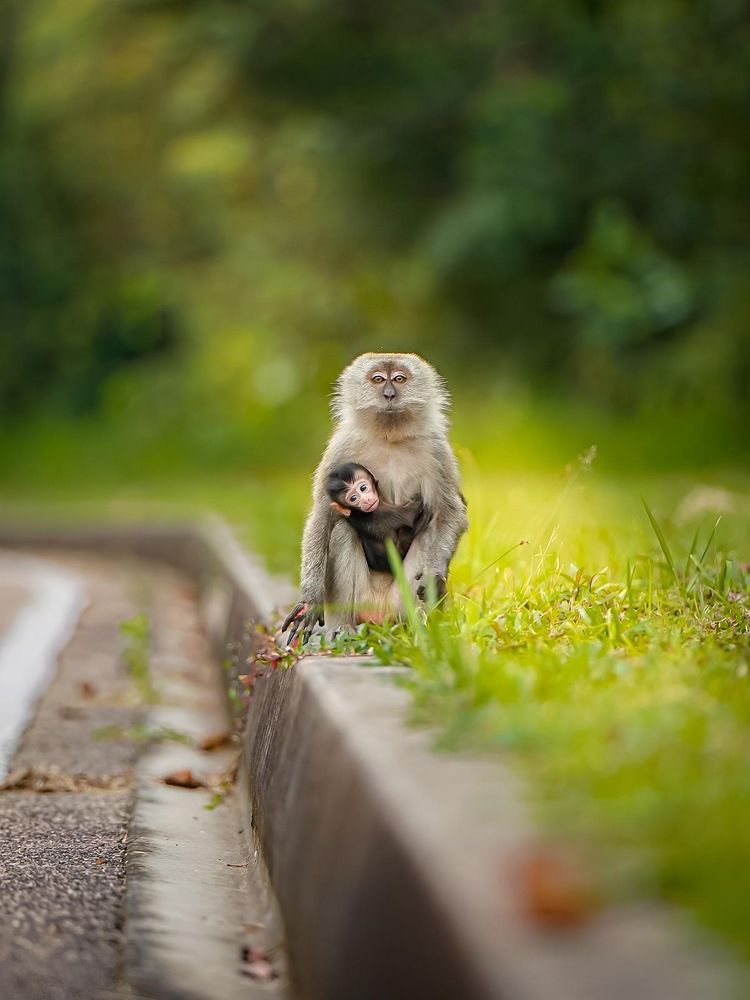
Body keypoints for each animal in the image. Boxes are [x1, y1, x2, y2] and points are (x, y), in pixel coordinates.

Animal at [282, 352, 468, 644]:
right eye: (378, 379)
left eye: (399, 379)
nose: (389, 394)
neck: (388, 436)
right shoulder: (341, 446)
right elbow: (322, 516)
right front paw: (310, 600)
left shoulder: (437, 449)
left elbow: (449, 512)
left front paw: (434, 574)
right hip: (360, 602)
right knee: (342, 531)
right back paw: (344, 628)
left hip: (400, 601)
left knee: (429, 532)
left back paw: (418, 630)